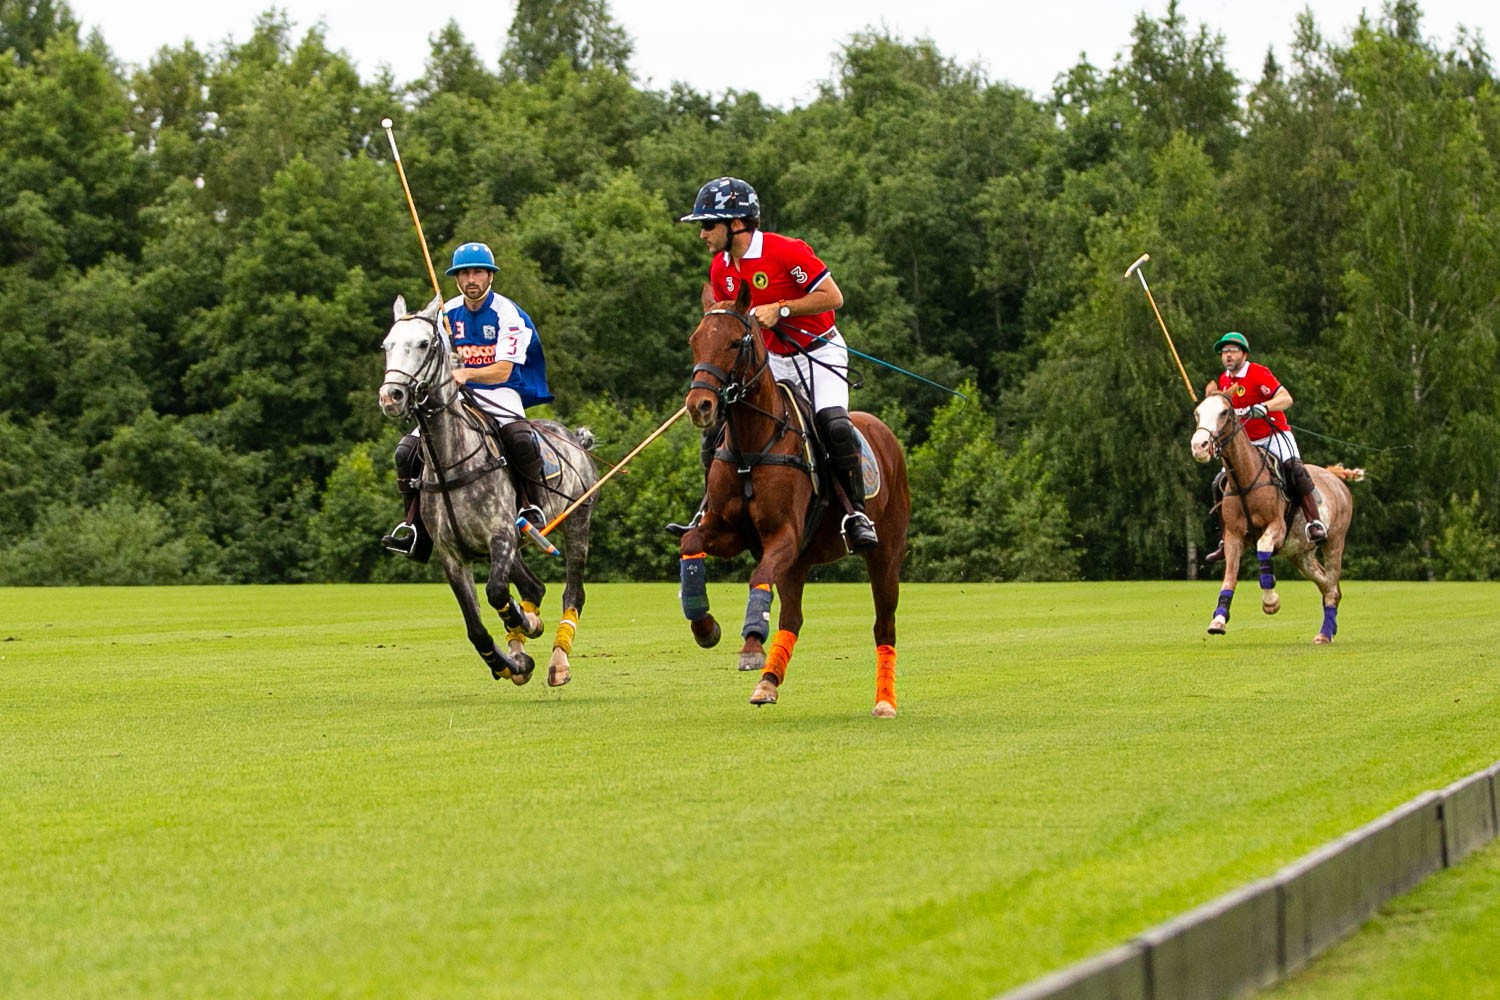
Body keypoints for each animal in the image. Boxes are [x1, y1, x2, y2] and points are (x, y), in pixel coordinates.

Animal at [375, 296, 597, 683]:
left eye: (424, 344)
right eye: (388, 345)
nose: (391, 396)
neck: (450, 462)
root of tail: (575, 438)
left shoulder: (501, 535)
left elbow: (496, 593)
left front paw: (525, 624)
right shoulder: (452, 555)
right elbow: (476, 626)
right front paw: (510, 662)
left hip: (576, 522)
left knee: (573, 593)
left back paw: (558, 661)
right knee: (534, 586)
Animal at [675, 284, 906, 716]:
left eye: (736, 341)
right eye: (695, 340)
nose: (700, 406)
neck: (753, 445)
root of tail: (883, 432)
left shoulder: (784, 534)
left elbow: (758, 576)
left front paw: (750, 643)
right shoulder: (729, 531)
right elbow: (690, 542)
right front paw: (705, 625)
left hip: (885, 555)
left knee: (884, 624)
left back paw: (885, 702)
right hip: (798, 564)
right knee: (792, 619)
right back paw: (768, 682)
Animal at [1188, 386, 1368, 644]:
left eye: (1224, 412)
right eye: (1198, 413)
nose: (1199, 446)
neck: (1245, 480)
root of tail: (1335, 477)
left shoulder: (1277, 527)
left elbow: (1263, 551)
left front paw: (1270, 603)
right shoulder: (1233, 535)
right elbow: (1230, 575)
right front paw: (1218, 620)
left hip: (1335, 540)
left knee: (1332, 587)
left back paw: (1324, 634)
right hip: (1301, 553)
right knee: (1327, 585)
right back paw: (1329, 629)